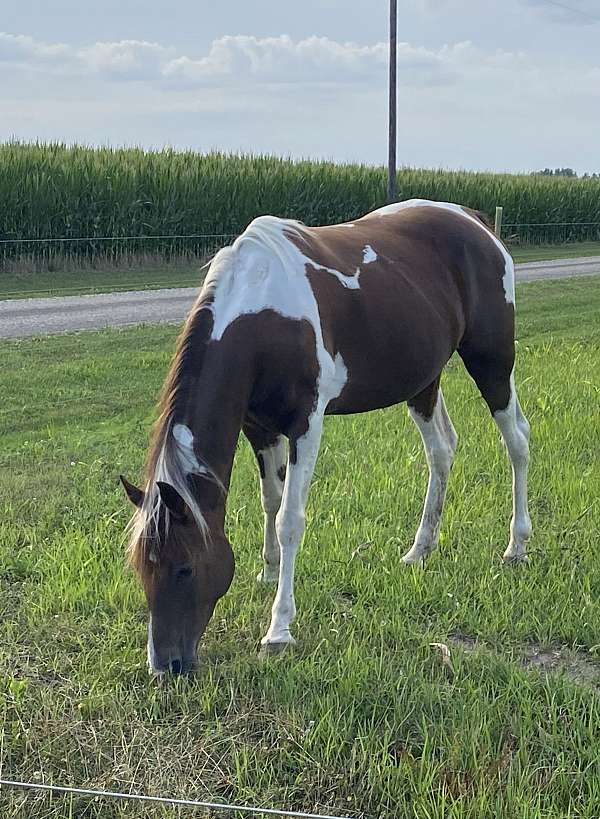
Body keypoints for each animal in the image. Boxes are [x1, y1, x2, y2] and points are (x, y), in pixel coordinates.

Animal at [120, 199, 528, 672]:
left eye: (184, 568)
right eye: (141, 570)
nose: (165, 665)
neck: (260, 313)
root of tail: (475, 220)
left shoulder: (306, 425)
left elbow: (289, 519)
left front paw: (279, 627)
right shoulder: (259, 428)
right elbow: (270, 501)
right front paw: (268, 572)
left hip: (492, 359)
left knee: (517, 441)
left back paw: (517, 544)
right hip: (423, 381)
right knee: (441, 450)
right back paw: (420, 549)